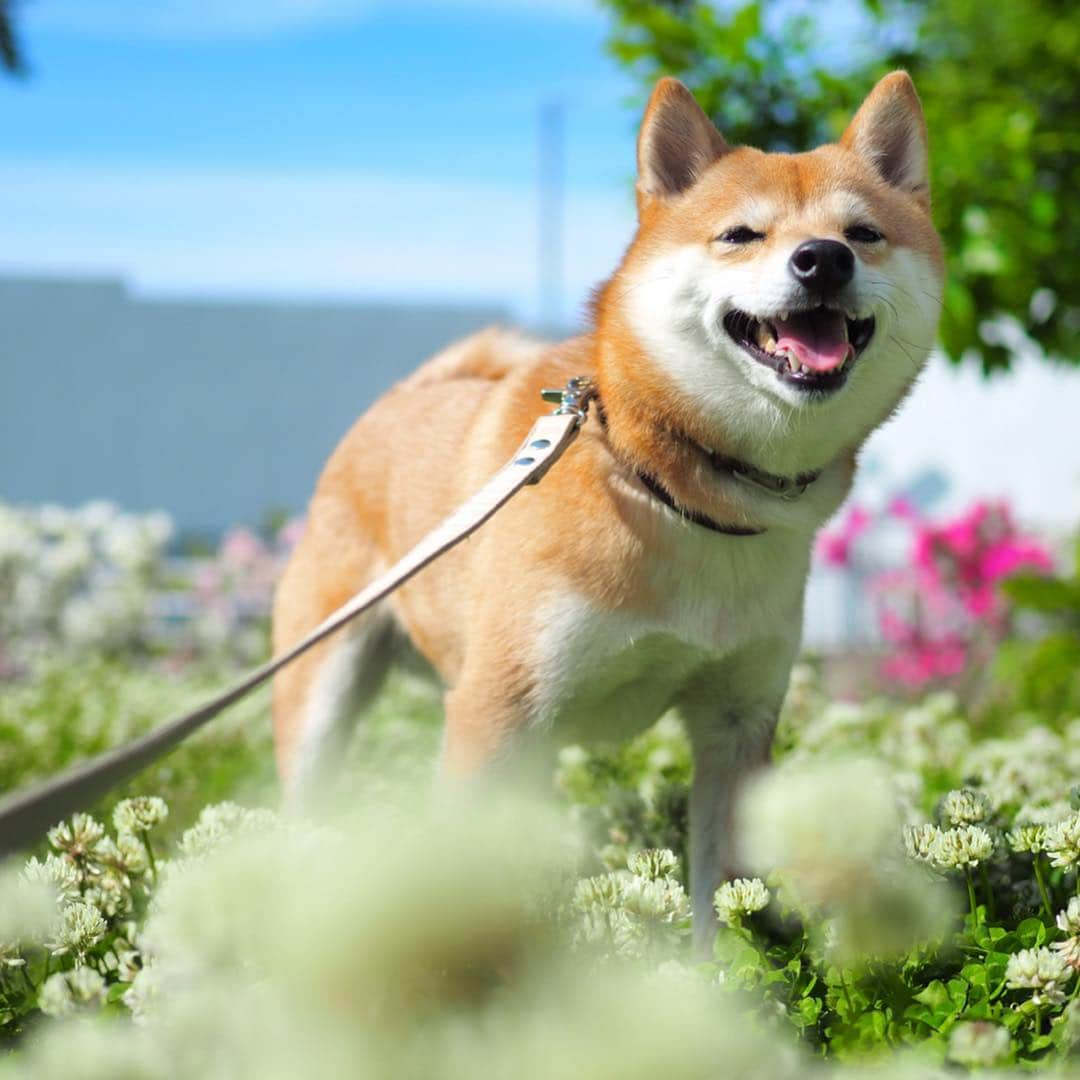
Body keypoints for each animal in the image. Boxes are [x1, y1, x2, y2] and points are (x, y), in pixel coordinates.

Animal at [274, 71, 941, 946]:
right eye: (740, 235)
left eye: (863, 234)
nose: (822, 259)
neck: (679, 494)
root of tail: (399, 398)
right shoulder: (498, 712)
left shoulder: (737, 724)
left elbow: (725, 902)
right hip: (325, 693)